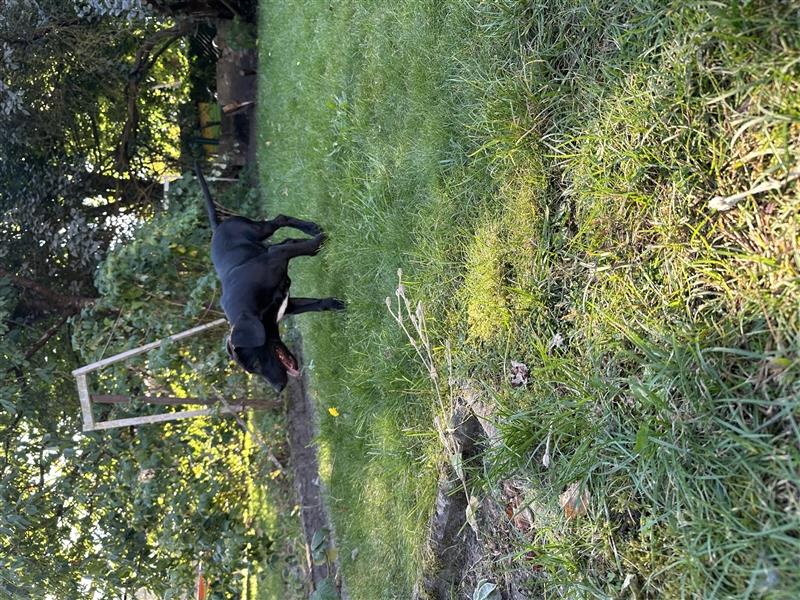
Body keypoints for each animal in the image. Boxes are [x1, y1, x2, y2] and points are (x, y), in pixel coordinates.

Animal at [197, 162, 344, 392]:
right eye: (253, 371)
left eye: (257, 363)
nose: (278, 388)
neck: (254, 307)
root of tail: (217, 226)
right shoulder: (288, 304)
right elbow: (319, 304)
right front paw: (338, 304)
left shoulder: (276, 255)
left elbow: (310, 248)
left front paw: (324, 237)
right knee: (288, 239)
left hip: (261, 230)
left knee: (280, 219)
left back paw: (311, 228)